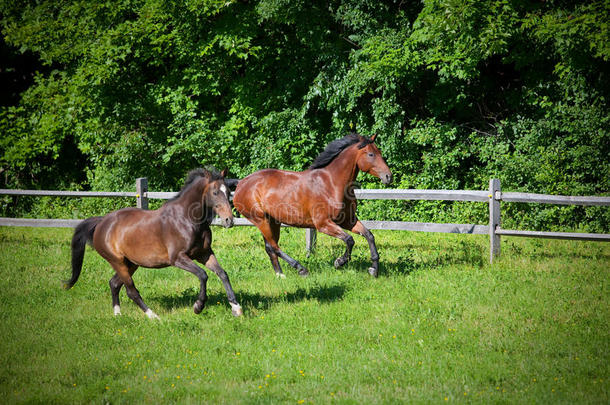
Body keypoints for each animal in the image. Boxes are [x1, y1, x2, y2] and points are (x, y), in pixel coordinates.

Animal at [66, 168, 242, 318]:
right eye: (215, 192)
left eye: (229, 192)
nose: (229, 220)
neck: (186, 219)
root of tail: (102, 223)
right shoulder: (178, 258)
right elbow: (203, 275)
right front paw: (198, 306)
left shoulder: (204, 254)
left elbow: (222, 273)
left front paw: (236, 308)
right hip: (117, 262)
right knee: (131, 290)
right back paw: (153, 317)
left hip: (131, 263)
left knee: (114, 284)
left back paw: (118, 314)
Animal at [230, 133, 392, 278]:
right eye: (371, 154)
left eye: (379, 152)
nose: (388, 177)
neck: (331, 184)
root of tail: (241, 183)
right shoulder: (323, 224)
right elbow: (349, 239)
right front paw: (339, 262)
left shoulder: (347, 220)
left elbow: (369, 235)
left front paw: (374, 269)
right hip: (260, 220)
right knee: (274, 247)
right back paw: (301, 269)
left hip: (273, 221)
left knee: (270, 247)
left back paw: (280, 274)